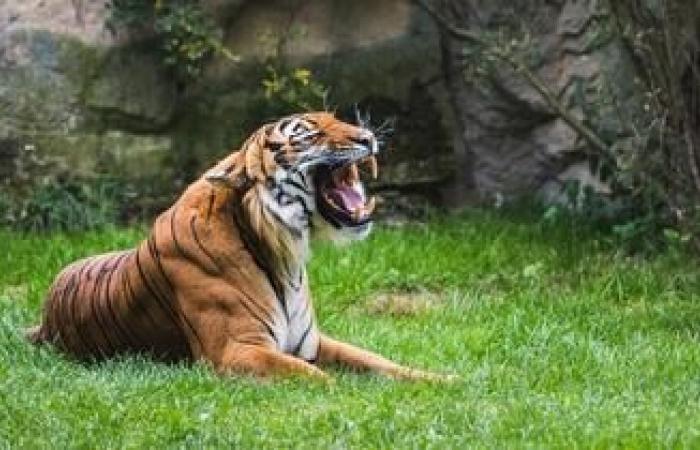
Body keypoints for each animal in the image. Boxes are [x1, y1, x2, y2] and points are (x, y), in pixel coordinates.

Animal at [27, 111, 448, 380]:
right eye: (310, 134)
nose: (368, 137)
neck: (284, 256)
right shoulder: (236, 349)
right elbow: (315, 377)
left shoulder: (313, 343)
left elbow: (378, 362)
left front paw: (445, 380)